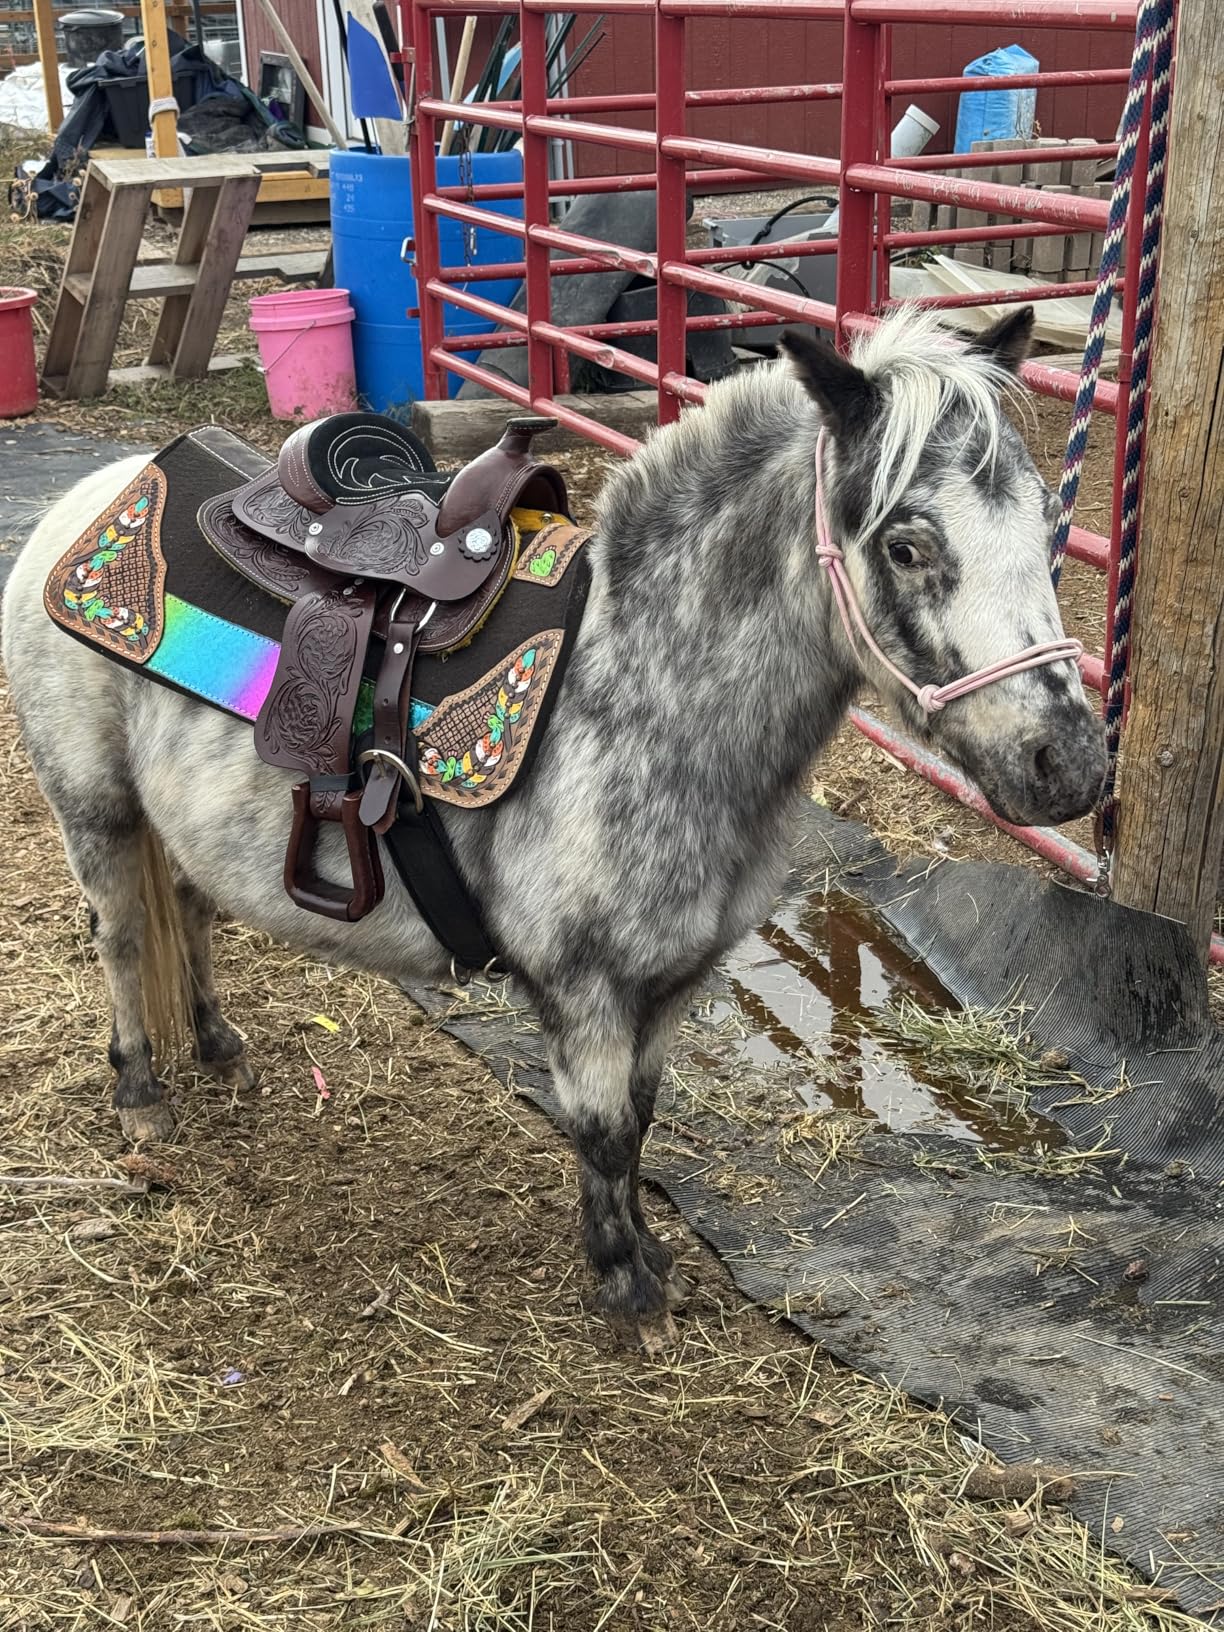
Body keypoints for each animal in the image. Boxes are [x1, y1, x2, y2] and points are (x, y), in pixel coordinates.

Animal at [2, 304, 1106, 1347]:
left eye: (1044, 525)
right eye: (909, 546)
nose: (1071, 766)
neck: (640, 690)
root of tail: (92, 495)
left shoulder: (669, 982)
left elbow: (642, 1122)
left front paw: (646, 1256)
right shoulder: (587, 989)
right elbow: (606, 1130)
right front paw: (627, 1287)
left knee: (188, 910)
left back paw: (220, 1048)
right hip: (97, 810)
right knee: (122, 935)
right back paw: (143, 1094)